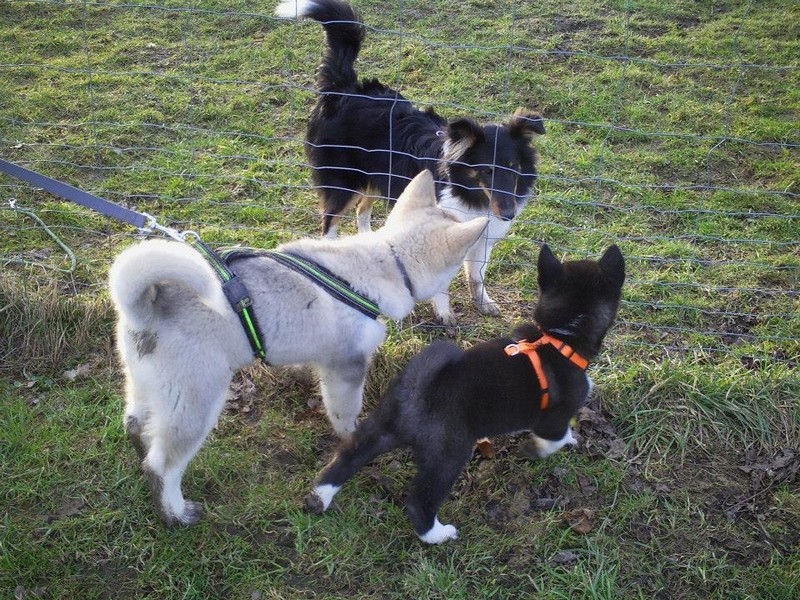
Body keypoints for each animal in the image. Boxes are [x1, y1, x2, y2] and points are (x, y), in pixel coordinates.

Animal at [108, 171, 487, 526]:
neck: (387, 260)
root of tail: (147, 306)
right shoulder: (347, 368)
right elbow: (345, 415)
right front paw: (351, 439)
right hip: (195, 404)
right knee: (162, 465)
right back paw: (176, 514)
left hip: (148, 385)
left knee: (136, 426)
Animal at [275, 0, 546, 326]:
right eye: (487, 170)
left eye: (514, 167)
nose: (507, 215)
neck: (469, 192)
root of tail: (344, 88)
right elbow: (443, 283)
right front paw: (445, 314)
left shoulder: (482, 238)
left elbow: (477, 275)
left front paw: (484, 303)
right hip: (344, 182)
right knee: (330, 222)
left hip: (377, 178)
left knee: (363, 212)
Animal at [303, 243, 625, 543]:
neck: (562, 335)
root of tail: (418, 391)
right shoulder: (553, 418)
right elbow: (554, 438)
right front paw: (538, 449)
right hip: (449, 454)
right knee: (419, 502)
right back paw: (438, 534)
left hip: (378, 427)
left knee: (346, 458)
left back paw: (319, 497)